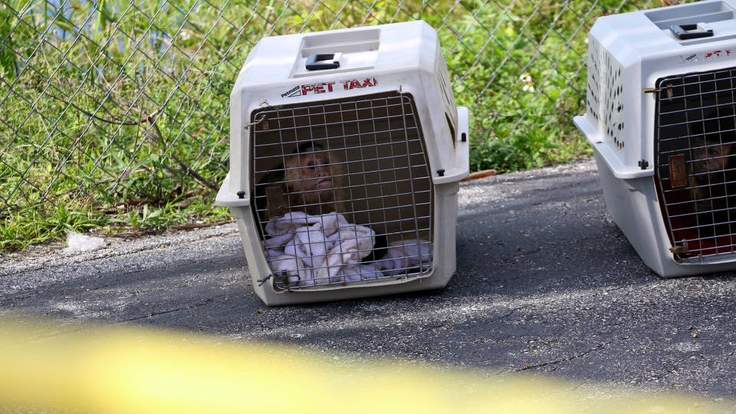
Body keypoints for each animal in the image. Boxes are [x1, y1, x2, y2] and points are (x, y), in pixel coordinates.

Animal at [217, 21, 472, 304]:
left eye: (325, 162)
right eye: (312, 165)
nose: (323, 173)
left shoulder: (335, 191)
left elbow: (341, 220)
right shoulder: (276, 191)